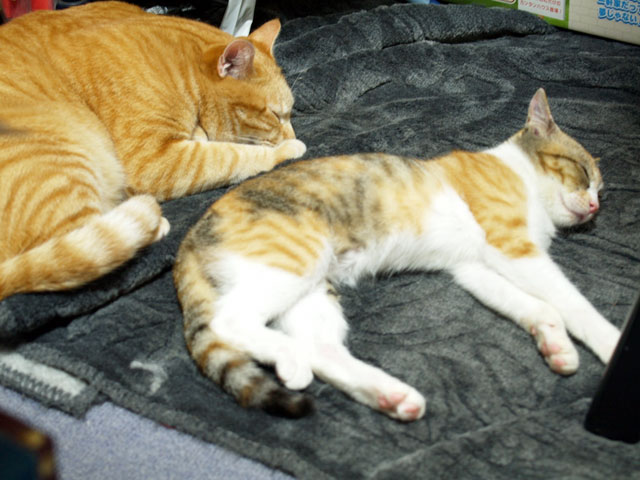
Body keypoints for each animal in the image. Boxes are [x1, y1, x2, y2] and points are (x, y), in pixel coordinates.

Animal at [0, 1, 305, 301]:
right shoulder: (153, 161)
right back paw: (154, 226)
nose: (293, 134)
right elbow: (235, 155)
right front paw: (289, 148)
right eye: (276, 115)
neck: (182, 62)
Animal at [173, 89, 621, 421]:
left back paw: (391, 396)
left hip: (308, 291)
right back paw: (290, 358)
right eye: (584, 174)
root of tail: (186, 243)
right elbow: (570, 302)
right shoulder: (513, 246)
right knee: (229, 321)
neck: (522, 177)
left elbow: (538, 307)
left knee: (322, 351)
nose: (595, 207)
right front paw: (612, 344)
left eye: (600, 191)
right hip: (293, 262)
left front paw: (555, 345)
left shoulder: (474, 267)